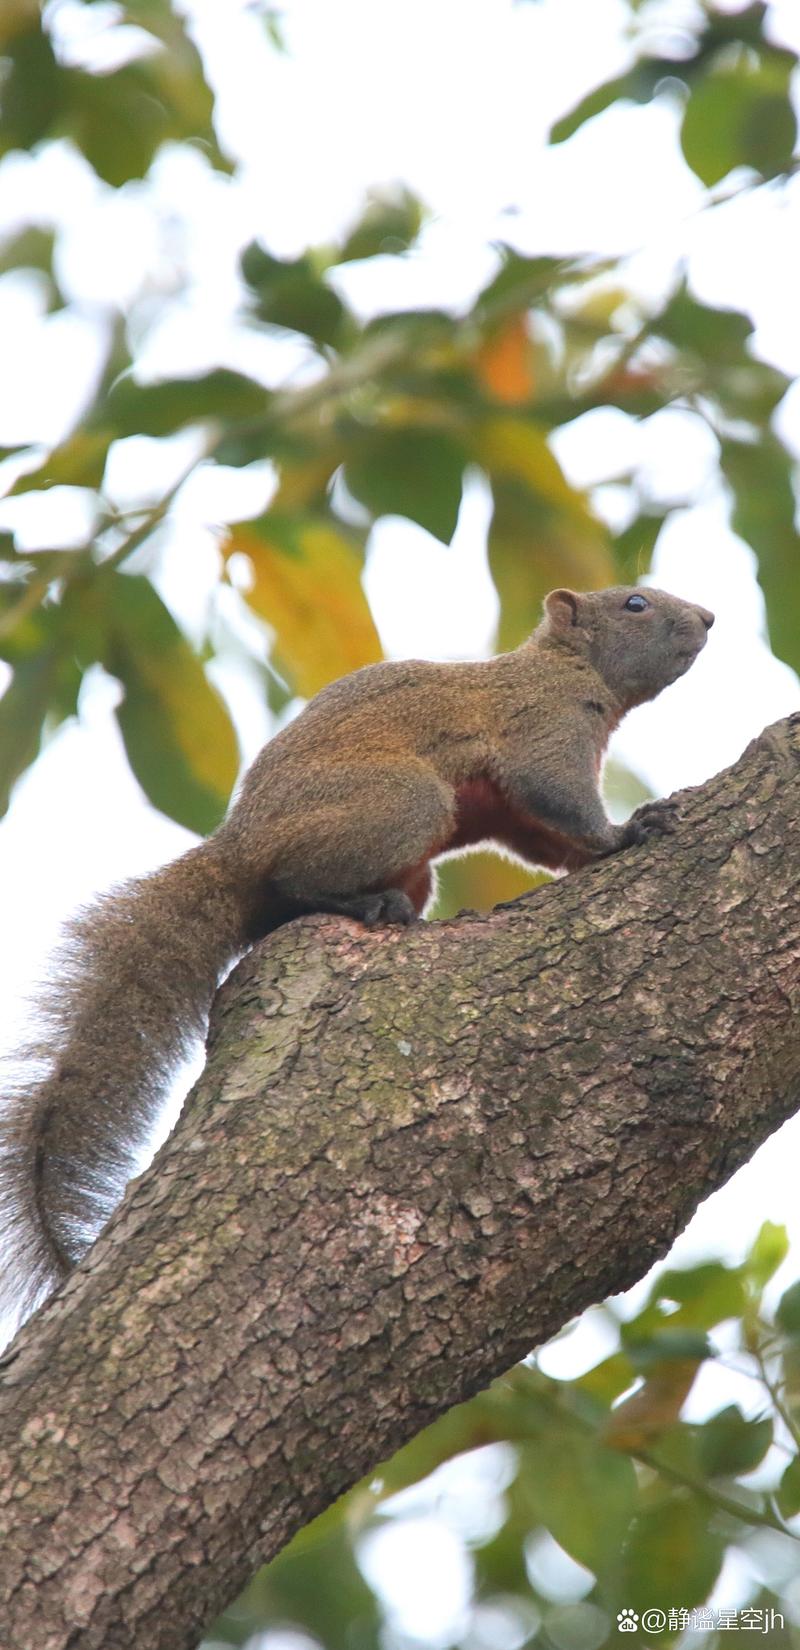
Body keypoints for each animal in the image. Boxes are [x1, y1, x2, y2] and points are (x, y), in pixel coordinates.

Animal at [0, 587, 712, 1333]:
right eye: (635, 603)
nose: (708, 618)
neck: (561, 663)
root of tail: (237, 847)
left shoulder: (520, 802)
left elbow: (541, 835)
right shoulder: (544, 724)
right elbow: (555, 797)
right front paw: (626, 833)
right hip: (401, 802)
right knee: (295, 881)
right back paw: (366, 904)